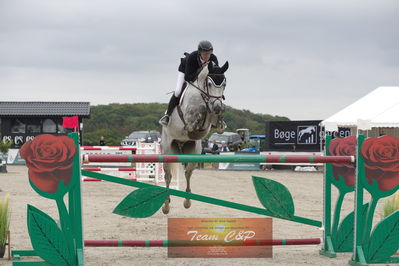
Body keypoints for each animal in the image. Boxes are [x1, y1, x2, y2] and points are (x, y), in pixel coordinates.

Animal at [159, 60, 228, 214]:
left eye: (224, 84)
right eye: (209, 84)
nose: (216, 106)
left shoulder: (207, 125)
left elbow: (216, 119)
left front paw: (220, 117)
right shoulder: (189, 117)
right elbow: (199, 112)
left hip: (194, 151)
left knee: (188, 173)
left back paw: (187, 201)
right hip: (168, 150)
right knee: (168, 175)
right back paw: (166, 205)